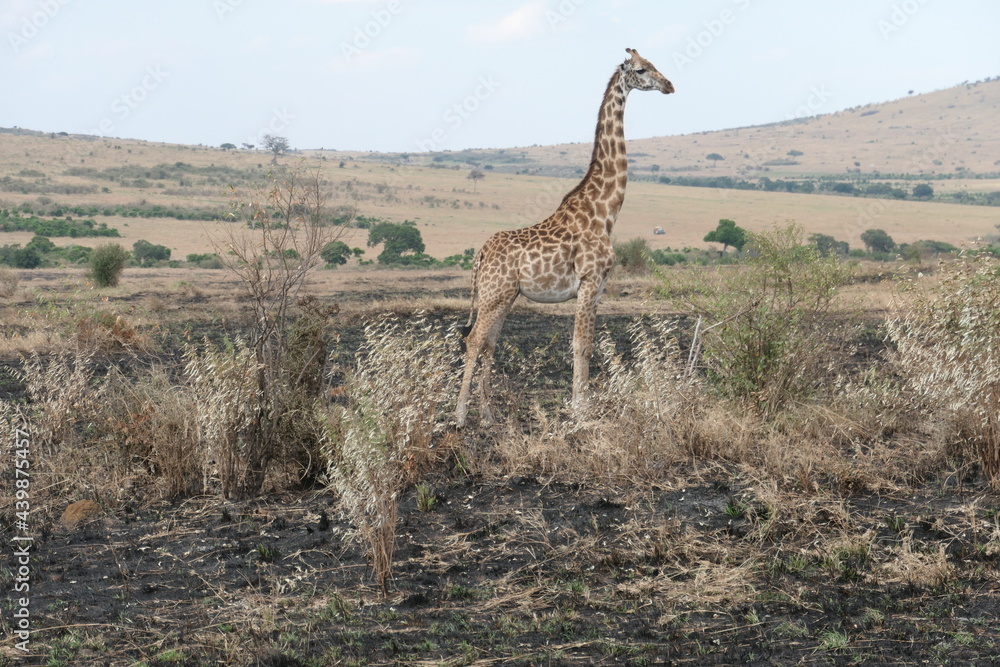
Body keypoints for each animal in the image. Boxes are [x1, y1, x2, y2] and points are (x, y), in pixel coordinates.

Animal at [456, 48, 674, 427]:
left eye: (654, 64)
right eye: (641, 69)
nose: (669, 85)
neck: (605, 212)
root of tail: (480, 253)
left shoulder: (600, 288)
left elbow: (588, 345)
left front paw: (581, 407)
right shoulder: (588, 281)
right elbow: (580, 345)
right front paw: (581, 413)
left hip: (504, 296)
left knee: (489, 343)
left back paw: (487, 416)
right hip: (494, 294)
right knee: (473, 341)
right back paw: (458, 415)